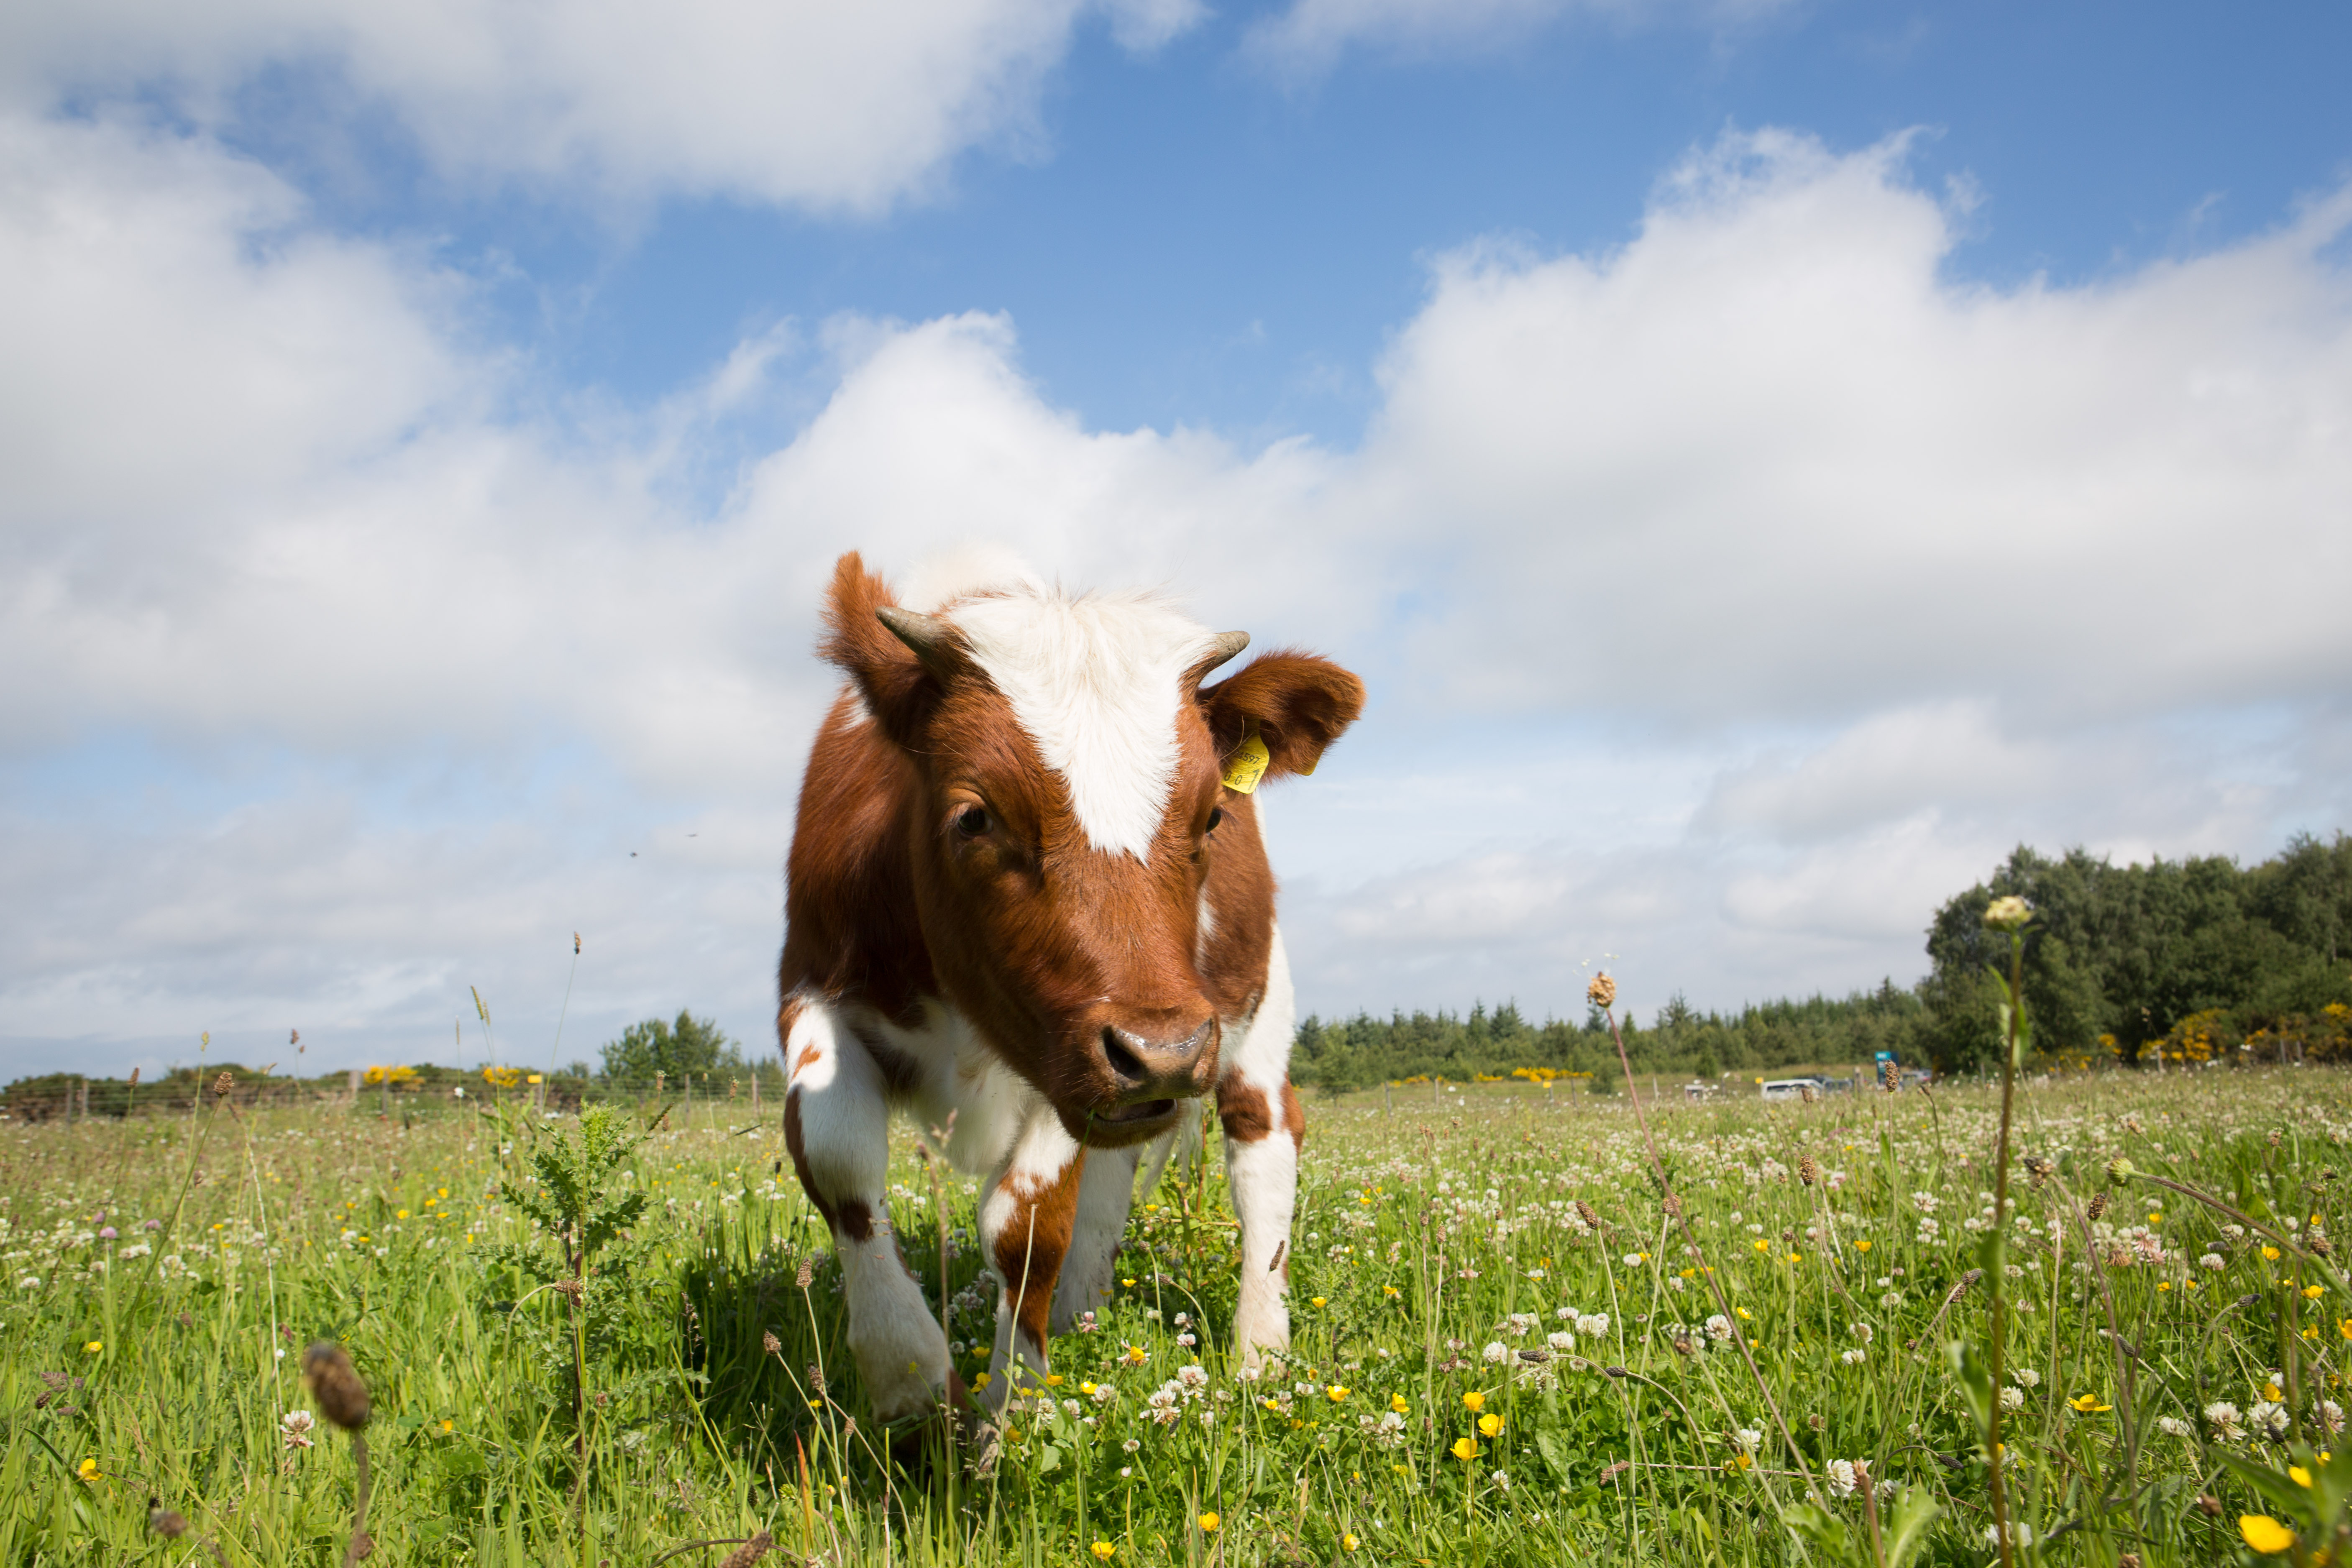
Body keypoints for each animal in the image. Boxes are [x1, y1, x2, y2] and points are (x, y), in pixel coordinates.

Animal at [771, 555, 1364, 1438]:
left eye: (1211, 815)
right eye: (974, 815)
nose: (1166, 1051)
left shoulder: (1064, 1053)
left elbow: (1024, 1224)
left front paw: (1007, 1411)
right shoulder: (814, 985)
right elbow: (839, 1157)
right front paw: (914, 1386)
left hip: (1249, 1011)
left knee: (1264, 1135)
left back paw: (1260, 1351)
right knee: (1113, 1172)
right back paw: (1084, 1308)